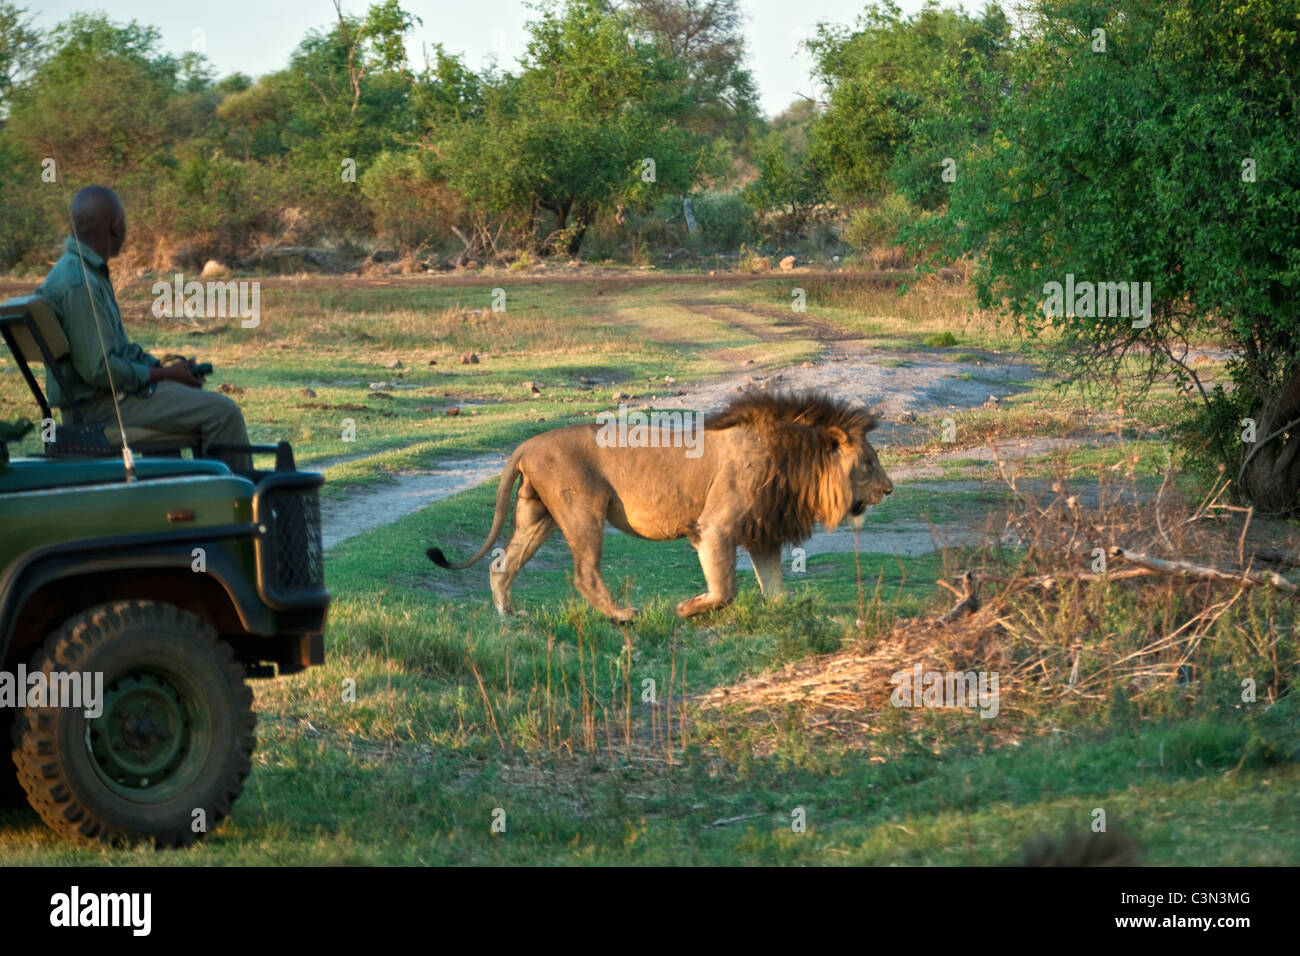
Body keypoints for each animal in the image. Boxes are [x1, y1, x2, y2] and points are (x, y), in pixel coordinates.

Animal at [428, 390, 894, 621]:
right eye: (870, 462)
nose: (890, 489)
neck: (795, 462)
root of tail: (525, 444)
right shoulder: (716, 526)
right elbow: (725, 589)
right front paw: (688, 608)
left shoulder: (762, 530)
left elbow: (775, 589)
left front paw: (790, 615)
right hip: (583, 509)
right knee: (584, 573)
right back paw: (622, 615)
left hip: (537, 515)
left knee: (501, 565)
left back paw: (510, 616)